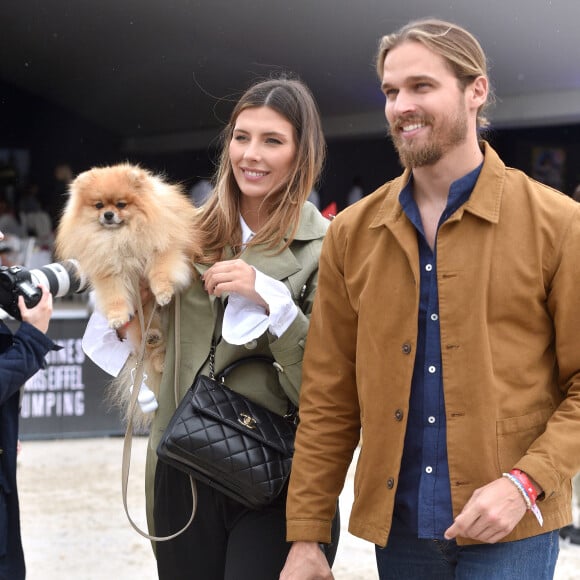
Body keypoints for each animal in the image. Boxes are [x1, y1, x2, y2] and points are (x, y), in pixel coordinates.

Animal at [56, 162, 202, 426]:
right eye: (99, 205)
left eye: (121, 204)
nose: (108, 215)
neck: (121, 236)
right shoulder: (110, 272)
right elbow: (114, 296)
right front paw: (116, 317)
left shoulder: (163, 247)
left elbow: (161, 271)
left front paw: (163, 292)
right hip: (144, 321)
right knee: (152, 348)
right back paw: (154, 343)